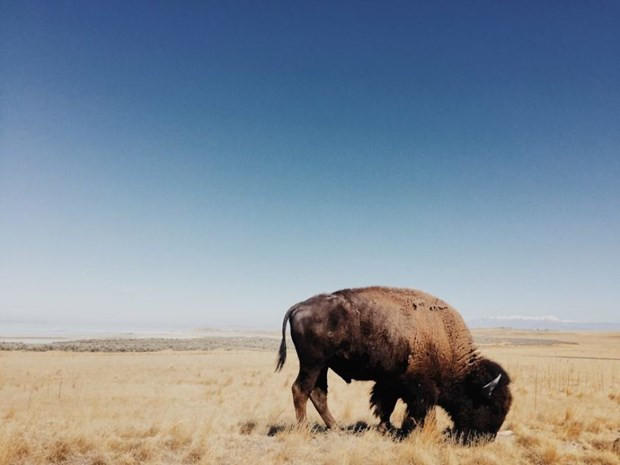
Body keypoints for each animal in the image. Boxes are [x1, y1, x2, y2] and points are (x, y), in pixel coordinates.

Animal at [276, 284, 512, 440]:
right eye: (491, 405)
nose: (485, 438)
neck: (443, 338)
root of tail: (299, 306)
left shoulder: (390, 382)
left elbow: (385, 406)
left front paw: (387, 428)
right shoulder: (420, 387)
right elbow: (421, 410)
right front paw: (420, 432)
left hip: (322, 366)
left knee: (318, 393)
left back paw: (336, 428)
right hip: (312, 364)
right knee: (300, 390)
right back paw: (305, 430)